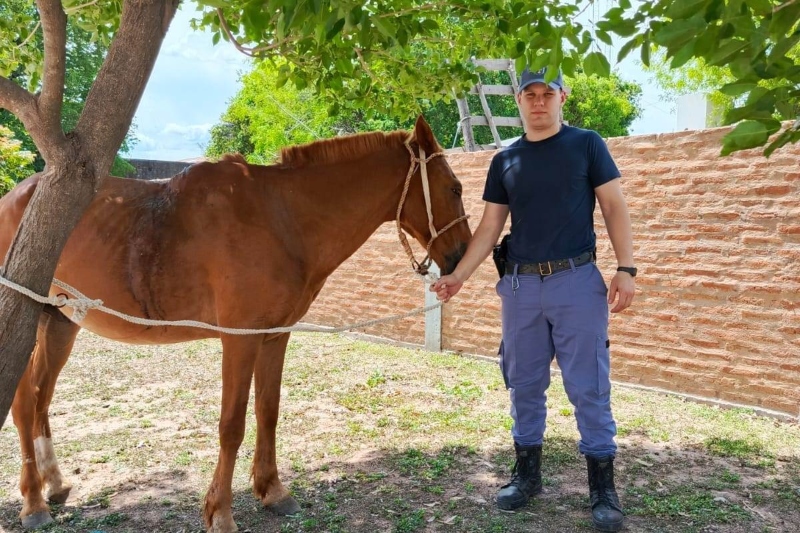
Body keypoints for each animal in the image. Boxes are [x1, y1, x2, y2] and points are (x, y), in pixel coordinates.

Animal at [0, 116, 472, 532]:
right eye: (455, 187)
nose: (461, 256)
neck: (281, 217)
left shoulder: (274, 337)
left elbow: (268, 411)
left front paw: (273, 490)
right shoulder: (239, 340)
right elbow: (232, 425)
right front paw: (221, 513)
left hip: (60, 324)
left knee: (41, 400)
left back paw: (54, 484)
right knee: (24, 405)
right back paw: (34, 503)